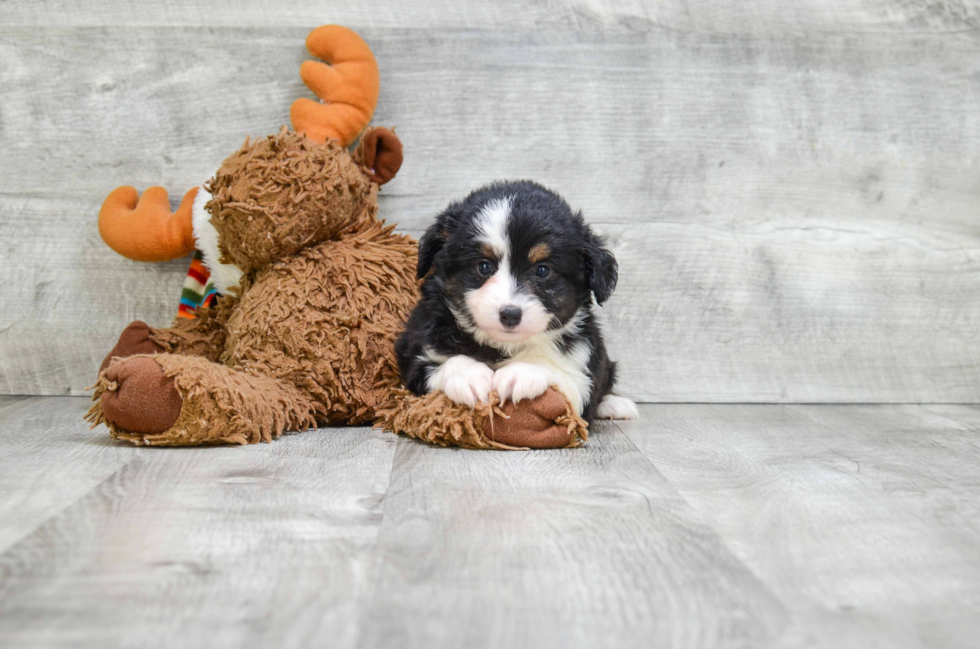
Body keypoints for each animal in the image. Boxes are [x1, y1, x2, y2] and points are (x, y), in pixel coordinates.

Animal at [394, 178, 640, 420]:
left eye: (542, 270)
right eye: (484, 266)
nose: (510, 315)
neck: (503, 347)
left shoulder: (583, 372)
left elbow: (559, 372)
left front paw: (522, 373)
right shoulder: (414, 350)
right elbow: (446, 361)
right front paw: (469, 376)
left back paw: (616, 405)